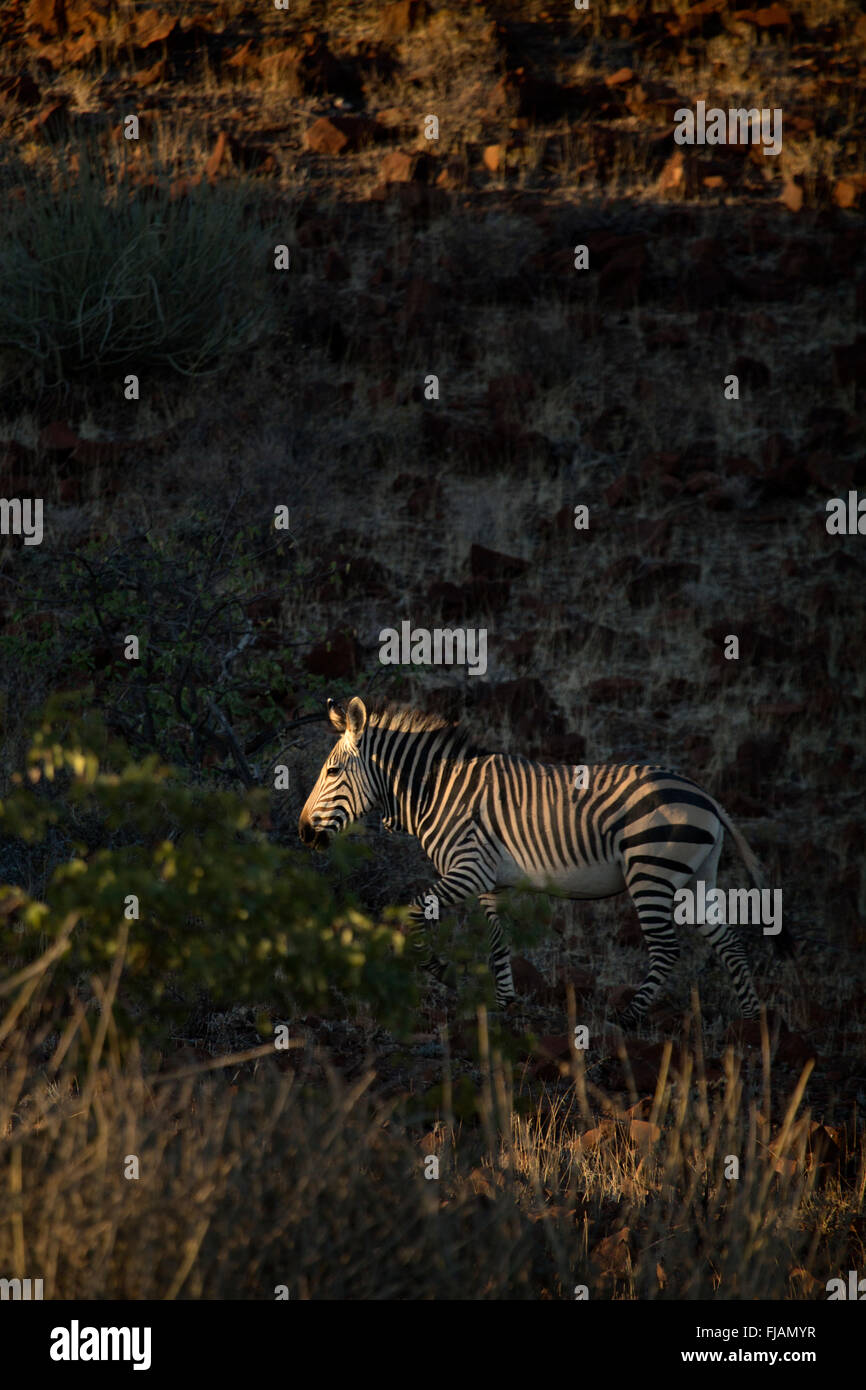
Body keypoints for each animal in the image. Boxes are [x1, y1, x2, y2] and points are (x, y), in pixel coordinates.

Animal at [298, 697, 792, 1025]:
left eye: (332, 771)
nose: (303, 833)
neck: (439, 791)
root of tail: (705, 794)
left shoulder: (466, 870)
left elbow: (414, 912)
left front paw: (442, 972)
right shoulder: (489, 882)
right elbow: (498, 944)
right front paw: (504, 1004)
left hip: (650, 872)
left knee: (667, 948)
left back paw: (628, 1018)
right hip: (694, 879)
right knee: (728, 942)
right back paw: (751, 1022)